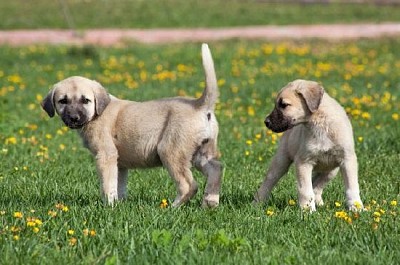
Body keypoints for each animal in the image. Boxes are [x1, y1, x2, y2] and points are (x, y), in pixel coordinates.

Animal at [41, 43, 222, 206]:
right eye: (63, 101)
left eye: (85, 100)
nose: (74, 118)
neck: (97, 113)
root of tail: (200, 105)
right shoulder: (119, 164)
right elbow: (118, 185)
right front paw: (118, 204)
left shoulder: (106, 155)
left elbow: (107, 185)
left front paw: (108, 206)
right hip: (202, 153)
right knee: (216, 169)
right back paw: (210, 203)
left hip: (171, 151)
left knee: (189, 185)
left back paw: (172, 207)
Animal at [255, 79, 364, 210]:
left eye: (284, 105)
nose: (266, 122)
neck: (321, 123)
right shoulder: (303, 162)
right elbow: (305, 190)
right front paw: (308, 210)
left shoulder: (347, 159)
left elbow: (352, 187)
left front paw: (356, 207)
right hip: (281, 161)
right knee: (269, 181)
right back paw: (257, 203)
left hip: (330, 171)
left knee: (316, 185)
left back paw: (319, 203)